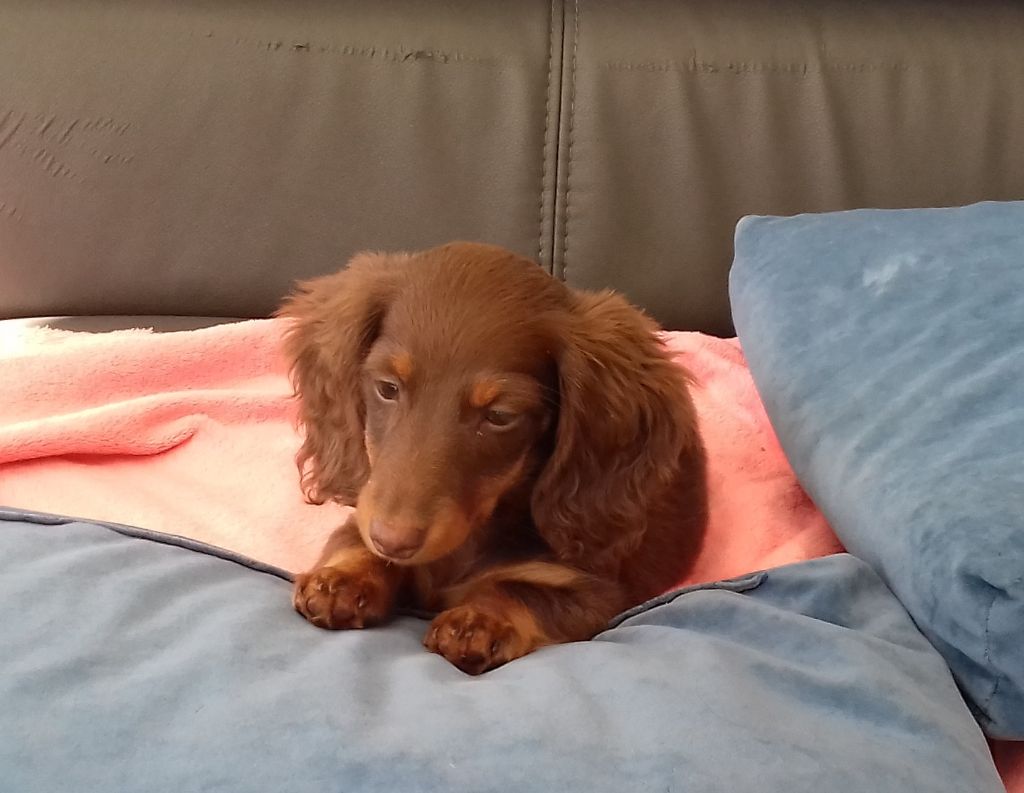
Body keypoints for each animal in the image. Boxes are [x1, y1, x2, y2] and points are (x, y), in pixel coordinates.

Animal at [279, 241, 707, 674]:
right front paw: (341, 578)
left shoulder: (592, 590)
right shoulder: (367, 510)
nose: (393, 542)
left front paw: (478, 621)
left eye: (500, 416)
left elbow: (518, 591)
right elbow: (353, 540)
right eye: (387, 387)